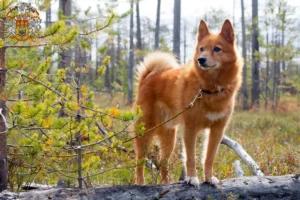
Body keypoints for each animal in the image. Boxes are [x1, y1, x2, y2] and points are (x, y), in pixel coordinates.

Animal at [135, 19, 243, 187]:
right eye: (201, 49)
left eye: (217, 49)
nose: (201, 59)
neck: (209, 89)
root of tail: (147, 78)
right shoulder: (190, 129)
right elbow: (191, 158)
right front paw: (192, 178)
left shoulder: (217, 130)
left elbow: (209, 158)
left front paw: (209, 178)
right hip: (146, 131)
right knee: (139, 161)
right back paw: (140, 183)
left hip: (169, 138)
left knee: (163, 164)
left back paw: (166, 183)